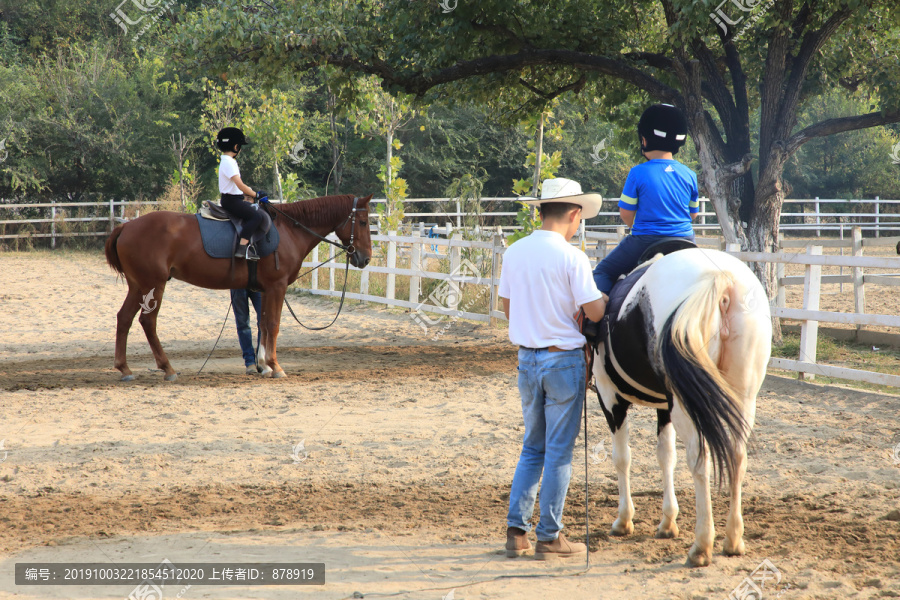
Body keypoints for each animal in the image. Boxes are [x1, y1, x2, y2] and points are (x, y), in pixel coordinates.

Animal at [105, 196, 372, 380]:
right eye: (362, 221)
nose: (366, 258)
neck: (289, 230)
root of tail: (126, 226)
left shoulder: (264, 290)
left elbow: (263, 324)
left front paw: (264, 365)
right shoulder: (277, 287)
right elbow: (273, 324)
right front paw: (276, 366)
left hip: (138, 286)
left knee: (124, 318)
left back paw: (125, 369)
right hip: (153, 285)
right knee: (147, 322)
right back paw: (167, 368)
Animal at [592, 247, 772, 568]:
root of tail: (720, 279)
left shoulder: (610, 398)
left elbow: (622, 458)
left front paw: (624, 520)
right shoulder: (664, 408)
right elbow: (666, 456)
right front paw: (667, 522)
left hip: (686, 407)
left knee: (700, 460)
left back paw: (702, 545)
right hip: (743, 398)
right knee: (737, 457)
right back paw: (733, 539)